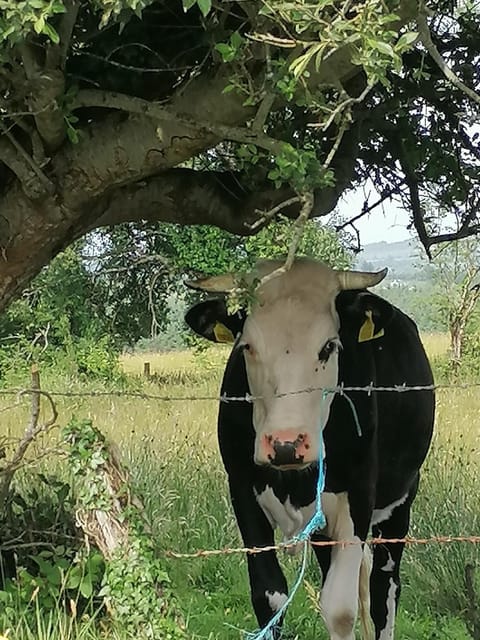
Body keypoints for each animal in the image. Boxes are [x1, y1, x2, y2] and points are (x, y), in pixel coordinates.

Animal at [184, 258, 436, 640]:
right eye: (247, 347)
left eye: (329, 346)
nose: (286, 444)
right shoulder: (242, 491)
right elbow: (269, 596)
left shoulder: (359, 497)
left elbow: (340, 609)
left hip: (400, 501)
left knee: (384, 588)